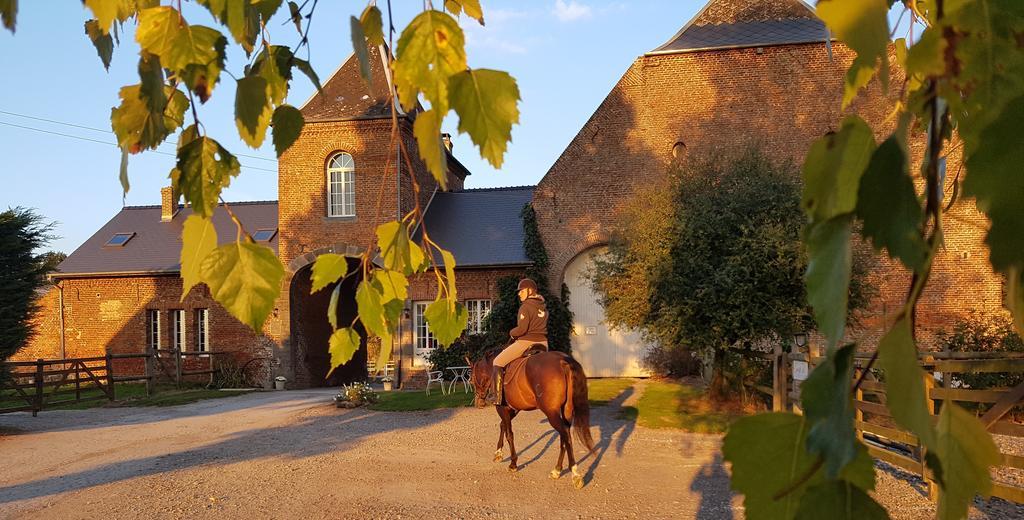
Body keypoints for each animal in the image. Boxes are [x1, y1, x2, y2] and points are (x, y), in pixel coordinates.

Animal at [468, 350, 598, 487]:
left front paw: (513, 464)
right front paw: (498, 453)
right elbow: (502, 425)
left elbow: (509, 434)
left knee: (565, 435)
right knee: (565, 435)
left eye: (471, 380)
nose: (479, 403)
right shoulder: (513, 409)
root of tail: (563, 361)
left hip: (551, 413)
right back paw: (557, 470)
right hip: (566, 411)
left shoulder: (502, 408)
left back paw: (575, 474)